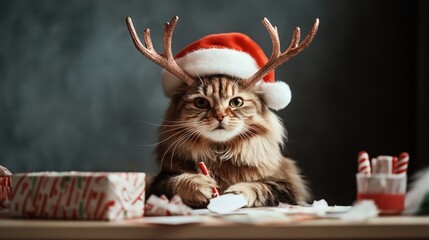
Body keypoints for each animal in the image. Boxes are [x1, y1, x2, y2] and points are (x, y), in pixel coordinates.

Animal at [147, 75, 308, 208]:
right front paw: (199, 185)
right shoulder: (159, 182)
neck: (220, 152)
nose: (219, 116)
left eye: (236, 102)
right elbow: (177, 182)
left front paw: (232, 194)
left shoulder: (286, 186)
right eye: (201, 102)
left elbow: (257, 187)